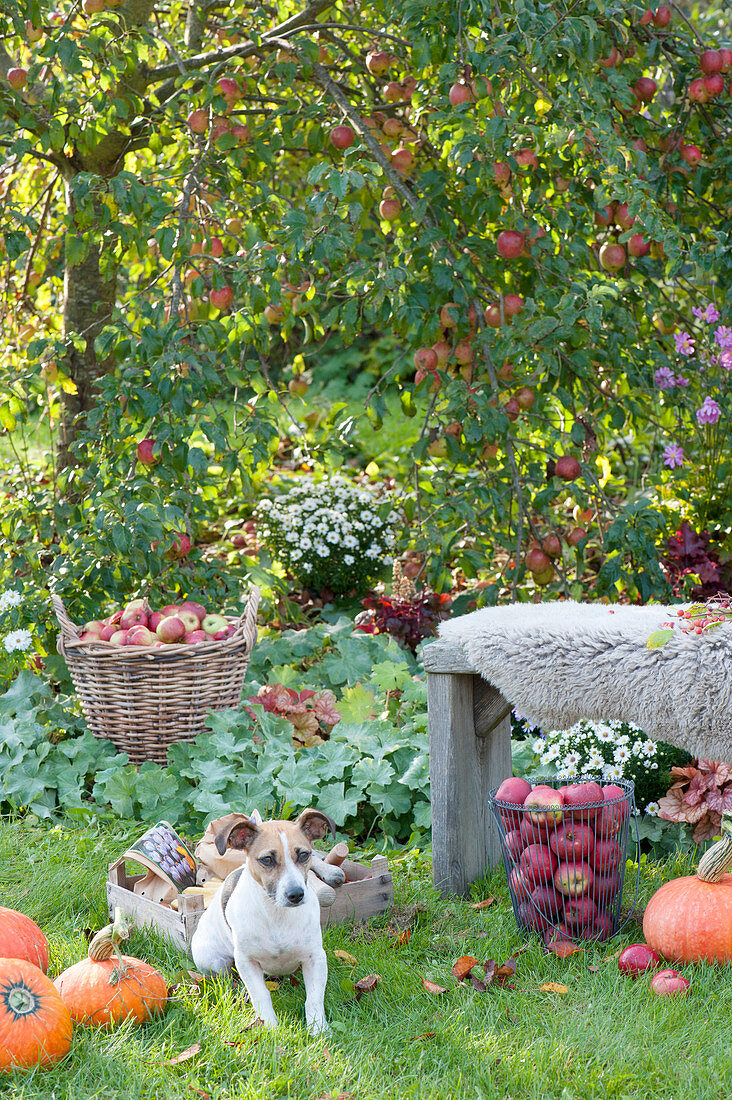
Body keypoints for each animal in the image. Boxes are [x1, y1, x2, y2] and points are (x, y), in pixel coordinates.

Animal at [187, 809, 339, 1029]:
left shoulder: (315, 958)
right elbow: (260, 994)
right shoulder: (247, 961)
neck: (276, 913)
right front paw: (270, 1026)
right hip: (212, 960)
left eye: (303, 855)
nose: (296, 894)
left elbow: (314, 998)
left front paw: (318, 1028)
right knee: (229, 980)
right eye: (267, 859)